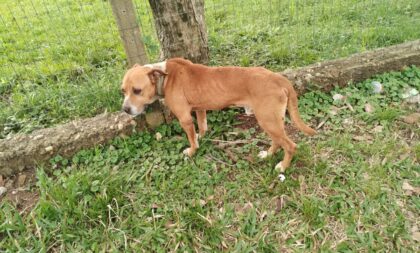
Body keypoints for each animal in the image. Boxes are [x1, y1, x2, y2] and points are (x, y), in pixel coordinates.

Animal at [120, 57, 316, 172]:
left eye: (137, 90)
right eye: (123, 90)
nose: (125, 109)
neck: (165, 76)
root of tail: (279, 78)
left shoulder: (185, 118)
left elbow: (191, 139)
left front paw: (192, 151)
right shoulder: (200, 109)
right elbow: (202, 127)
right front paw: (201, 138)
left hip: (268, 120)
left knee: (290, 146)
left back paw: (282, 167)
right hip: (272, 121)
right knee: (277, 141)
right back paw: (268, 154)